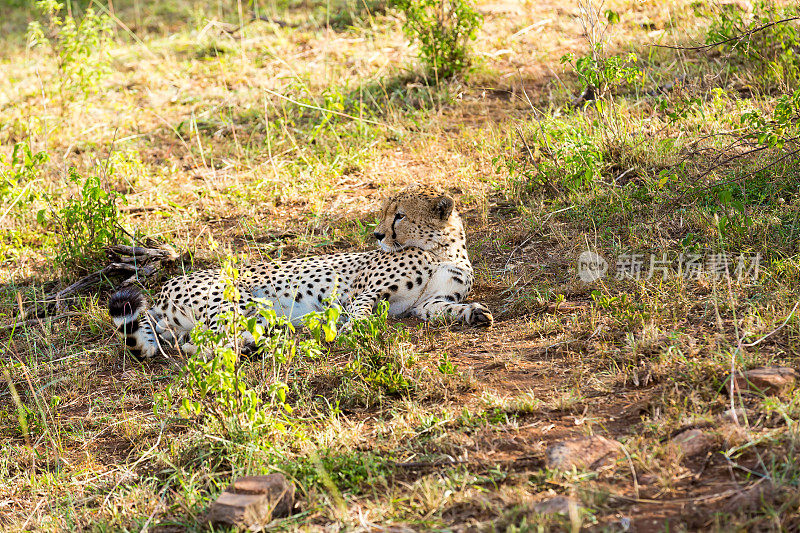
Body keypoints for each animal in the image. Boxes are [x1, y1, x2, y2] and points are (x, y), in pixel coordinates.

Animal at [108, 185, 490, 360]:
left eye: (400, 215)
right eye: (386, 212)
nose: (378, 235)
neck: (441, 248)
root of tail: (163, 290)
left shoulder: (427, 304)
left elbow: (448, 308)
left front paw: (475, 313)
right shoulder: (365, 292)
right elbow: (363, 312)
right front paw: (352, 329)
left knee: (194, 343)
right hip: (241, 302)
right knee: (208, 345)